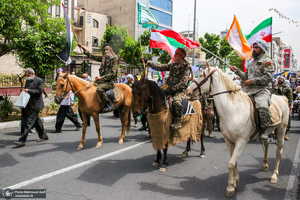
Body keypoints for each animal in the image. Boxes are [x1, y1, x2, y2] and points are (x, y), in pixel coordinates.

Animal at [186, 65, 290, 197]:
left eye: (201, 75)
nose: (187, 92)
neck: (233, 109)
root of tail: (282, 98)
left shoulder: (241, 141)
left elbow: (230, 163)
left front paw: (230, 187)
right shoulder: (229, 140)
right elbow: (233, 161)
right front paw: (235, 181)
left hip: (281, 129)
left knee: (279, 152)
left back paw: (274, 175)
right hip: (267, 132)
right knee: (266, 144)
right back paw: (265, 164)